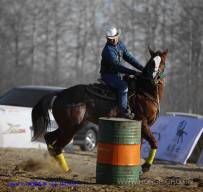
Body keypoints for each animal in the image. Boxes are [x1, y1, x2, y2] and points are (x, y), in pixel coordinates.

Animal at [31, 47, 168, 172]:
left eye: (162, 63)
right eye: (151, 63)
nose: (153, 77)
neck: (145, 92)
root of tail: (61, 93)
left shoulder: (143, 127)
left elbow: (139, 147)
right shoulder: (143, 122)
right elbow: (154, 142)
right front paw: (146, 166)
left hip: (69, 126)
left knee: (49, 138)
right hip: (71, 127)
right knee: (58, 146)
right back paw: (66, 171)